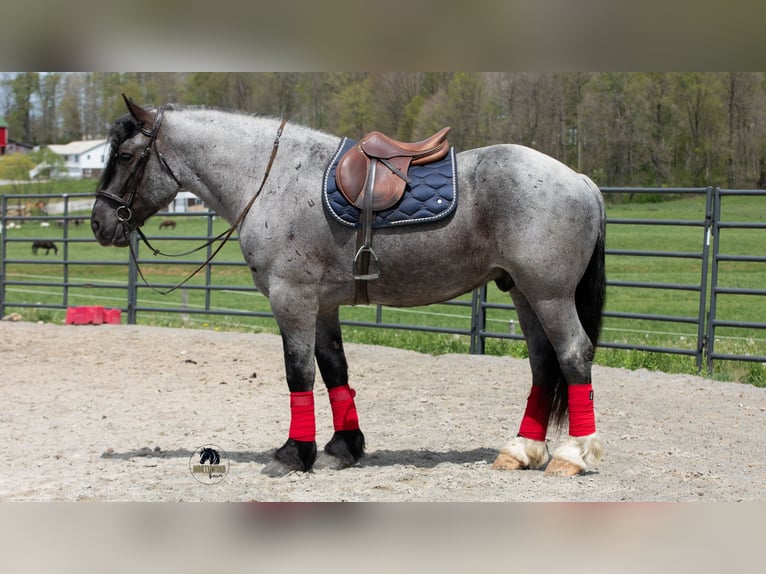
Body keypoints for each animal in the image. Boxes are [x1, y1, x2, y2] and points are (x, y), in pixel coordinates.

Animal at [91, 97, 606, 479]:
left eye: (126, 156)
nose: (99, 223)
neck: (274, 180)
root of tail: (580, 179)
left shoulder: (292, 300)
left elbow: (299, 375)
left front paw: (293, 454)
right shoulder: (321, 307)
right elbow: (335, 369)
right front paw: (343, 448)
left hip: (549, 295)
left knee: (573, 354)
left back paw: (572, 455)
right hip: (522, 292)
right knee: (542, 364)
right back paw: (520, 451)